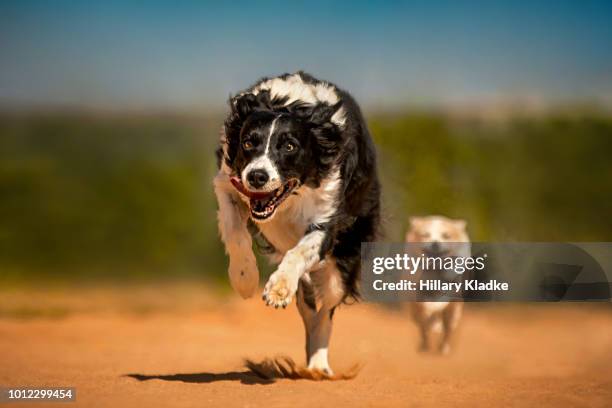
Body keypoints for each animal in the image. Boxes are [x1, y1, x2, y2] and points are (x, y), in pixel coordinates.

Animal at [404, 217, 470, 354]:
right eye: (425, 235)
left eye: (446, 236)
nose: (435, 243)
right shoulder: (418, 300)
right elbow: (424, 323)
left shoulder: (453, 301)